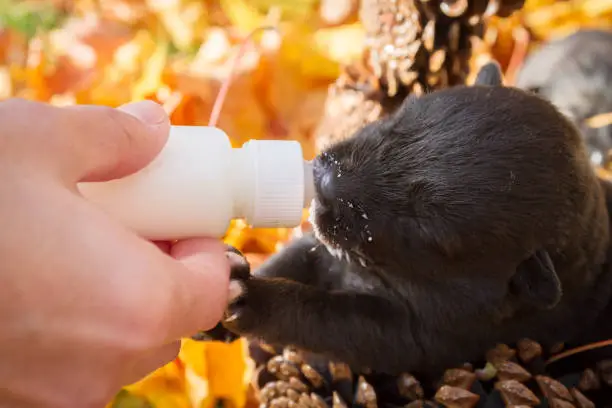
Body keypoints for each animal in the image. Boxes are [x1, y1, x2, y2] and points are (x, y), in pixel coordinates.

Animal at [200, 63, 612, 380]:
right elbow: (292, 257)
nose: (324, 181)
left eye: (423, 227)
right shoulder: (323, 247)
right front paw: (229, 282)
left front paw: (255, 298)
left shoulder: (415, 334)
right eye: (400, 118)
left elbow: (324, 314)